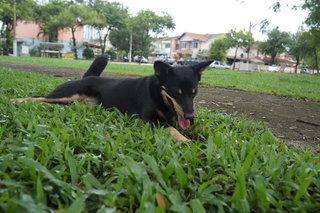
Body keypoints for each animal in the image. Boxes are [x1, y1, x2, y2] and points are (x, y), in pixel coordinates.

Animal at [12, 56, 212, 143]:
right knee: (39, 97)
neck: (159, 94)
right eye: (176, 93)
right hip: (68, 93)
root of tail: (86, 77)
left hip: (79, 104)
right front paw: (183, 139)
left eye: (194, 93)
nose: (190, 116)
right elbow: (170, 127)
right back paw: (17, 101)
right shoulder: (148, 119)